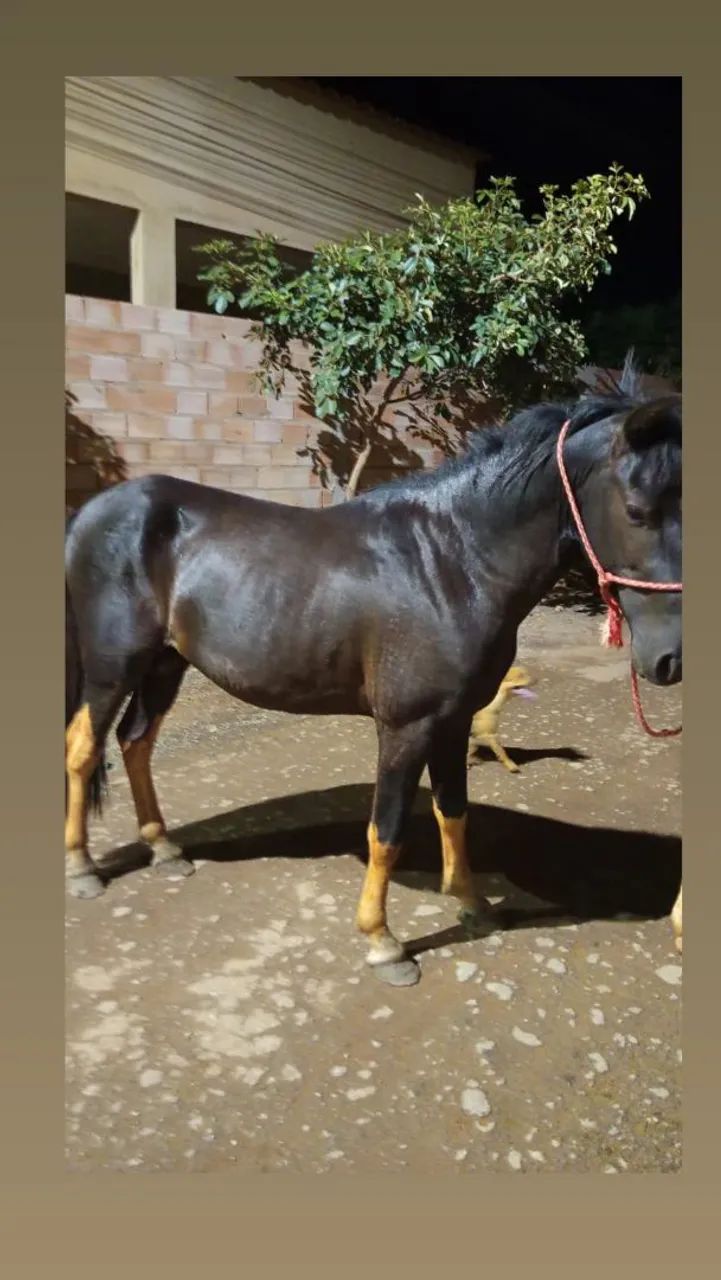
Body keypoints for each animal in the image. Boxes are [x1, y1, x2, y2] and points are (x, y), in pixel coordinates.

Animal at [65, 361, 682, 985]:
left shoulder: (454, 719)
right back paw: (82, 869)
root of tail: (93, 513)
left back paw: (164, 849)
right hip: (114, 665)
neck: (450, 562)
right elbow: (387, 829)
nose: (669, 658)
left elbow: (453, 810)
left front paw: (473, 904)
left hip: (166, 662)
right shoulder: (406, 725)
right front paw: (384, 942)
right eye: (637, 510)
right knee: (84, 748)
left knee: (136, 743)